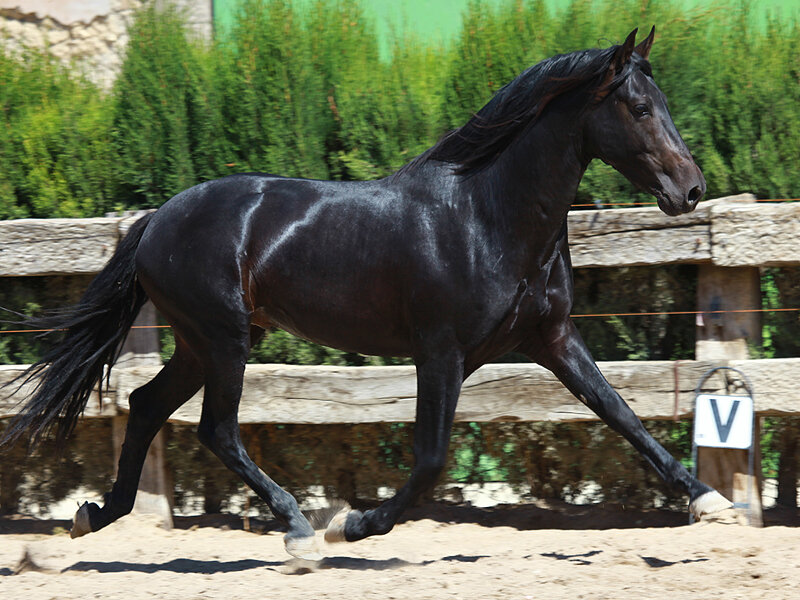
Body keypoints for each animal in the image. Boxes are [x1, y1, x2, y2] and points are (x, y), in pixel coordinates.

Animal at [1, 28, 731, 559]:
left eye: (664, 104)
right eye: (639, 108)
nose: (691, 189)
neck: (486, 214)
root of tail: (156, 219)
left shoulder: (551, 338)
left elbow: (624, 415)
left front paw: (711, 502)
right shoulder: (440, 353)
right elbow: (431, 458)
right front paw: (352, 525)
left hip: (202, 341)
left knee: (147, 404)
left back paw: (98, 514)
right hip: (224, 338)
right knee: (216, 429)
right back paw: (298, 526)